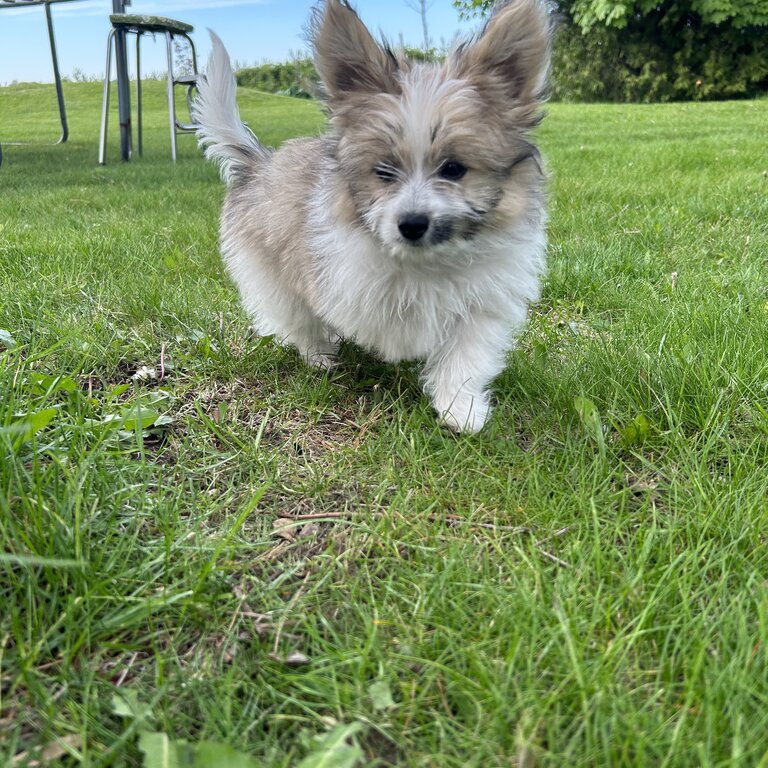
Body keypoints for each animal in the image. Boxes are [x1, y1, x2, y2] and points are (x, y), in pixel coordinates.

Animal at [192, 0, 552, 432]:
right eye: (383, 171)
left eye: (454, 169)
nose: (412, 224)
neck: (427, 263)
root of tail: (258, 164)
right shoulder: (344, 277)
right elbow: (390, 323)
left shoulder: (484, 303)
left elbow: (466, 352)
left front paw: (460, 408)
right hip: (273, 277)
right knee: (298, 320)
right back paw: (319, 355)